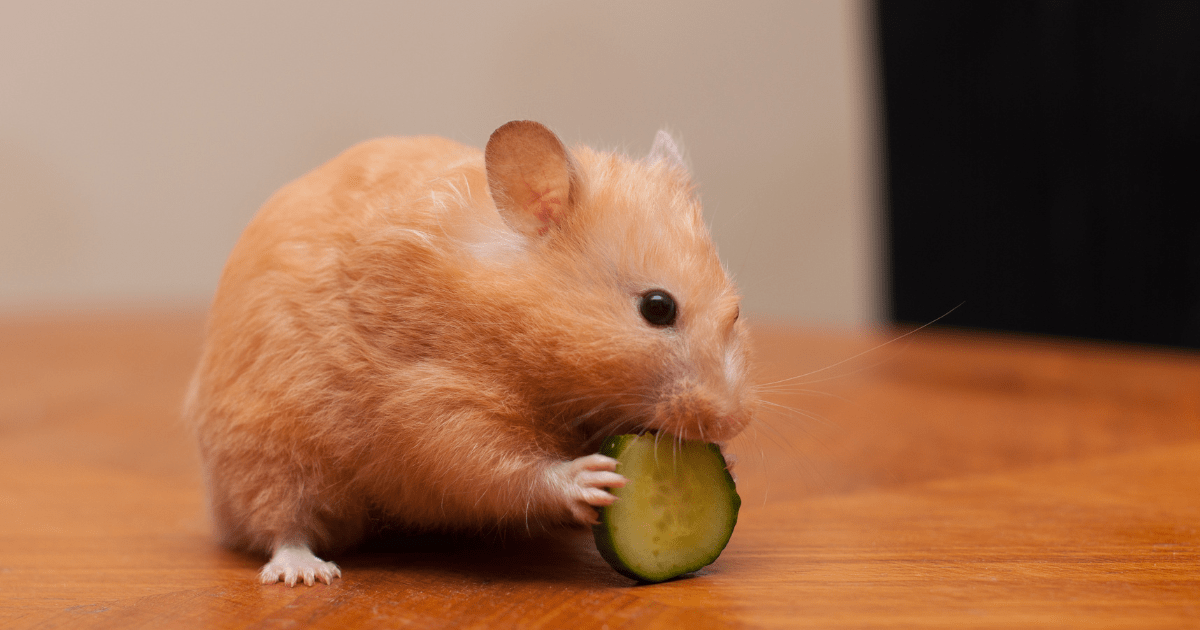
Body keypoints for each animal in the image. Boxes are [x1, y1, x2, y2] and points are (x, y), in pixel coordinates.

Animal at [182, 119, 753, 585]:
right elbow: (496, 466)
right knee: (281, 522)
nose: (733, 423)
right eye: (658, 308)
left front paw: (727, 462)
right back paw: (306, 573)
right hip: (265, 452)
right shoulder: (433, 401)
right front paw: (593, 479)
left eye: (737, 311)